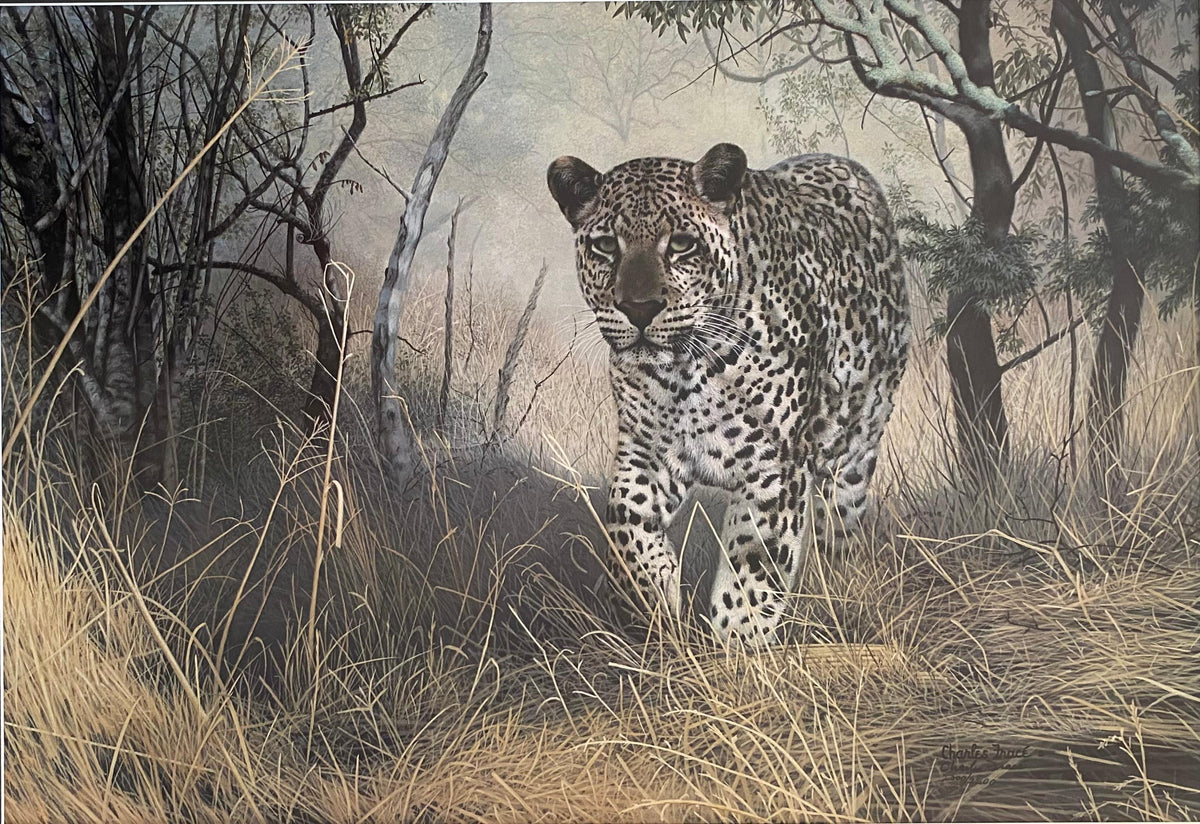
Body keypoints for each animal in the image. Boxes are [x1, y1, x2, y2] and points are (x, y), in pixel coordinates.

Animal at [547, 143, 910, 645]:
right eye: (605, 245)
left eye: (681, 244)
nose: (638, 309)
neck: (684, 372)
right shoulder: (645, 451)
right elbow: (626, 522)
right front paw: (654, 604)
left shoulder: (774, 471)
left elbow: (752, 572)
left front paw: (737, 650)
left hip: (855, 444)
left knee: (839, 522)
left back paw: (837, 588)